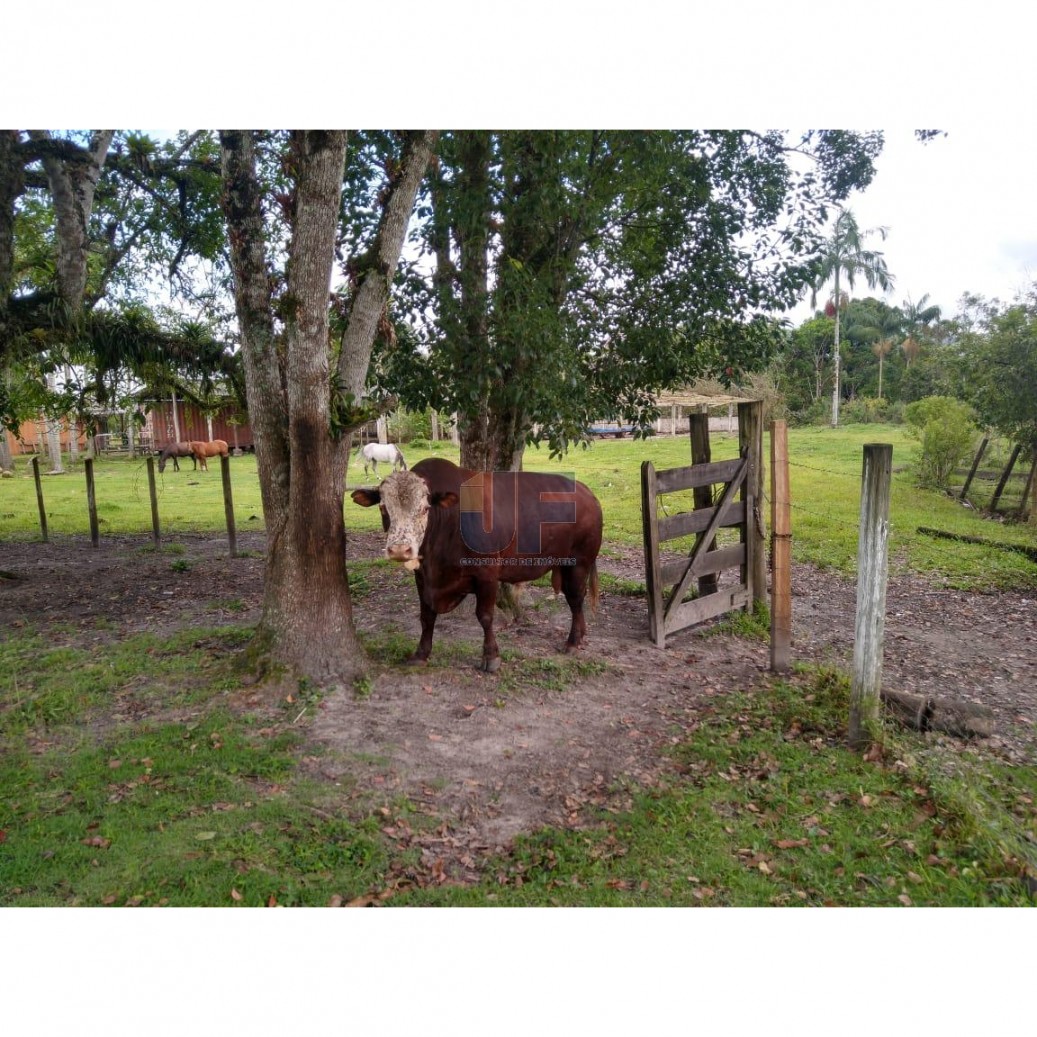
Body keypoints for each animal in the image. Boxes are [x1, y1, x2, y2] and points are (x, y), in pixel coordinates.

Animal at [352, 460, 605, 671]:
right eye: (383, 508)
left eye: (424, 508)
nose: (399, 550)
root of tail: (587, 492)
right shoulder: (423, 577)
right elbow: (426, 616)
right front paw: (421, 654)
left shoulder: (487, 575)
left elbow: (485, 616)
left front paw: (491, 657)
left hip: (579, 562)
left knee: (575, 599)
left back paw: (573, 641)